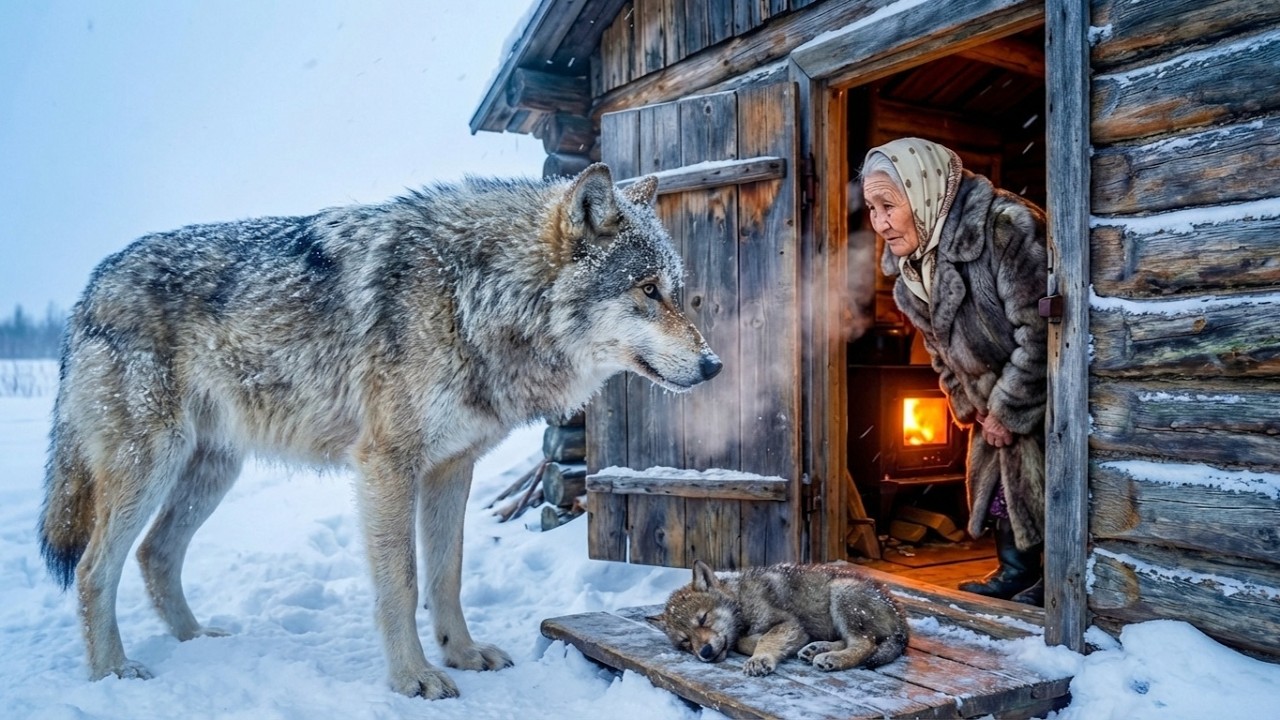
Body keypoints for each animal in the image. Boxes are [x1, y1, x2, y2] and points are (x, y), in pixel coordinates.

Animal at [38, 163, 721, 699]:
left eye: (676, 291)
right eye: (647, 290)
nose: (714, 365)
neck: (473, 297)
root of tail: (88, 289)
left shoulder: (452, 468)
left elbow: (446, 574)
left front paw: (462, 655)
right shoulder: (387, 464)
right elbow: (403, 581)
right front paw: (413, 678)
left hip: (211, 472)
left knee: (155, 555)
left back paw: (198, 642)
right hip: (150, 467)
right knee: (95, 568)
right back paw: (113, 672)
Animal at [651, 561, 908, 676]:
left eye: (703, 619)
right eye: (685, 641)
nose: (704, 652)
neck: (741, 599)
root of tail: (899, 614)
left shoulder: (788, 623)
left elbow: (759, 639)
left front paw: (759, 656)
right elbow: (743, 640)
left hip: (842, 592)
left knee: (864, 644)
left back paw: (833, 658)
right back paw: (816, 648)